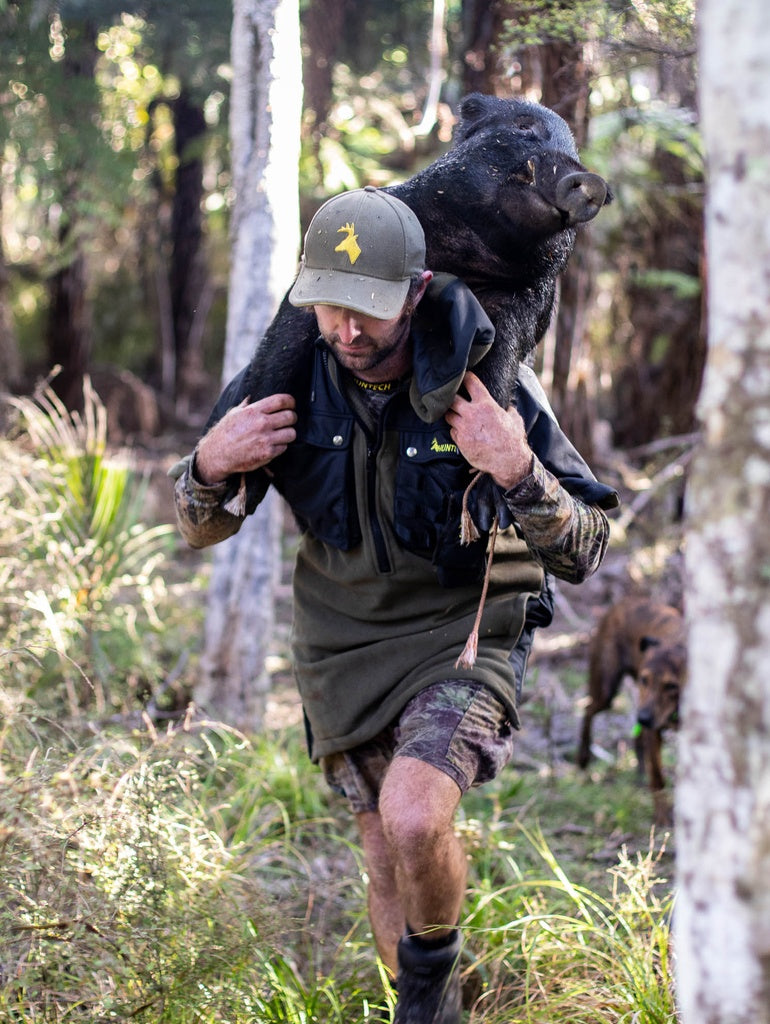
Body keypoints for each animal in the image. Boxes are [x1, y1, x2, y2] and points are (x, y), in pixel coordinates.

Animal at [577, 598, 683, 827]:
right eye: (645, 679)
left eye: (671, 685)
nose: (643, 718)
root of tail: (623, 603)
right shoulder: (655, 728)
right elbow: (658, 777)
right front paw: (662, 817)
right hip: (606, 689)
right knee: (588, 710)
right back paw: (583, 758)